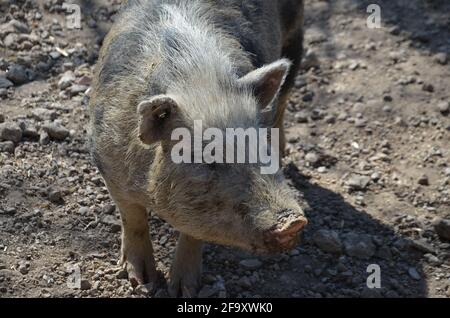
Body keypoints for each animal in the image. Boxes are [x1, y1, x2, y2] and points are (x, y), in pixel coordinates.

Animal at [89, 0, 306, 298]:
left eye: (262, 147)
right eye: (209, 158)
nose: (294, 222)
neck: (200, 84)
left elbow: (194, 232)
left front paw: (184, 291)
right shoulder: (107, 161)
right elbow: (132, 218)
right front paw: (141, 282)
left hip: (296, 35)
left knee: (284, 97)